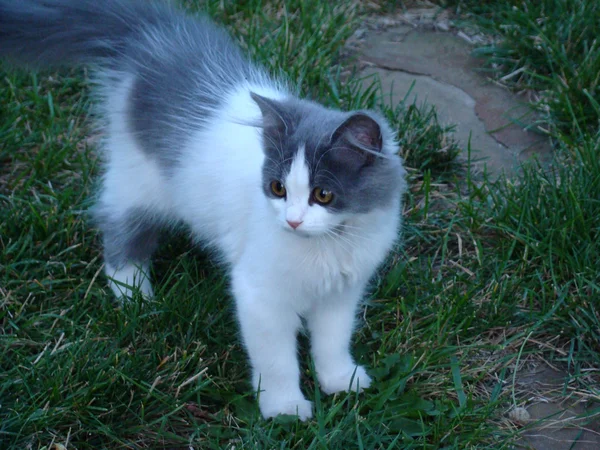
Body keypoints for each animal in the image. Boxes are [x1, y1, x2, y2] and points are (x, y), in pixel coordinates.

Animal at [1, 0, 408, 422]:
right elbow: (276, 359)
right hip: (138, 180)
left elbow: (332, 341)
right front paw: (284, 408)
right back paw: (134, 294)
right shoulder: (259, 293)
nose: (292, 220)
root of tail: (152, 31)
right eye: (278, 189)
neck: (330, 245)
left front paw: (340, 380)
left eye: (323, 194)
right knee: (119, 227)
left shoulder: (342, 293)